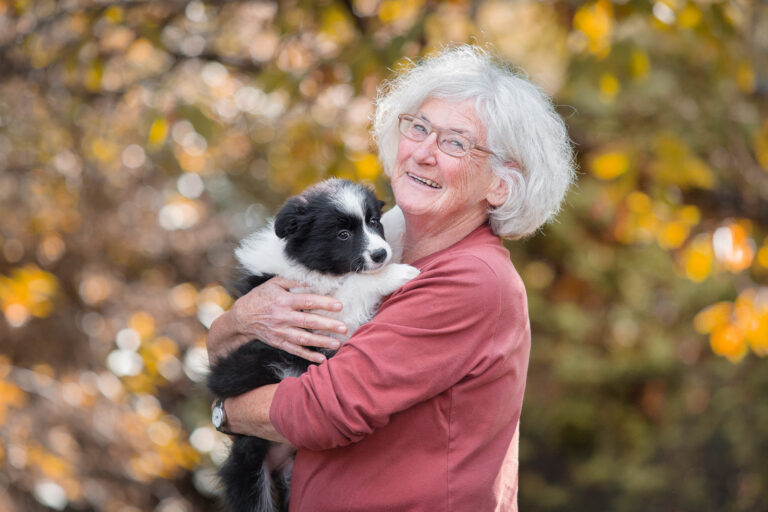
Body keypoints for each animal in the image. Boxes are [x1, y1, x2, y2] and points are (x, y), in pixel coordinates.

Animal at [207, 179, 416, 512]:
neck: (309, 262)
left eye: (373, 222)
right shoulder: (320, 316)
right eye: (342, 234)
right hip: (251, 466)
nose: (381, 254)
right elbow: (356, 283)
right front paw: (398, 273)